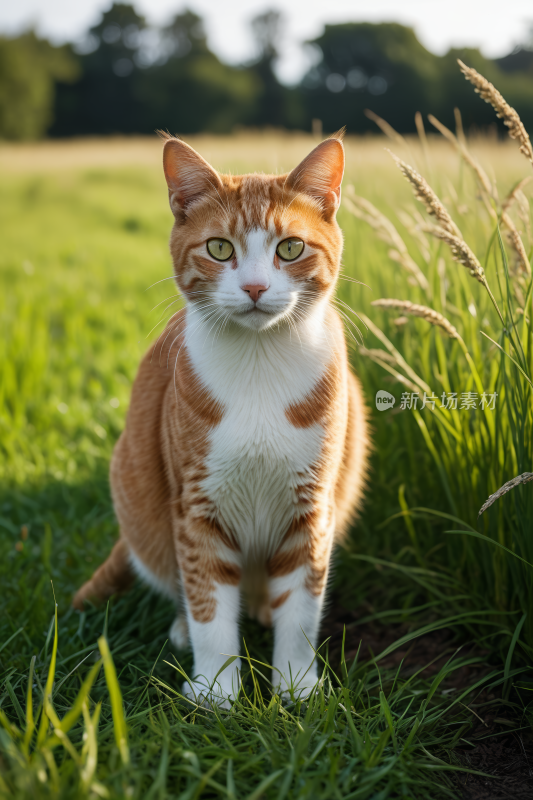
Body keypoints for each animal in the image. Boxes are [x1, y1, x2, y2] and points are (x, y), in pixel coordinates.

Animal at [72, 133, 368, 708]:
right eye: (219, 249)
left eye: (290, 248)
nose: (254, 288)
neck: (258, 363)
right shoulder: (196, 505)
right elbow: (209, 602)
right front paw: (215, 691)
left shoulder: (312, 505)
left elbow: (301, 608)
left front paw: (295, 685)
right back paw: (184, 628)